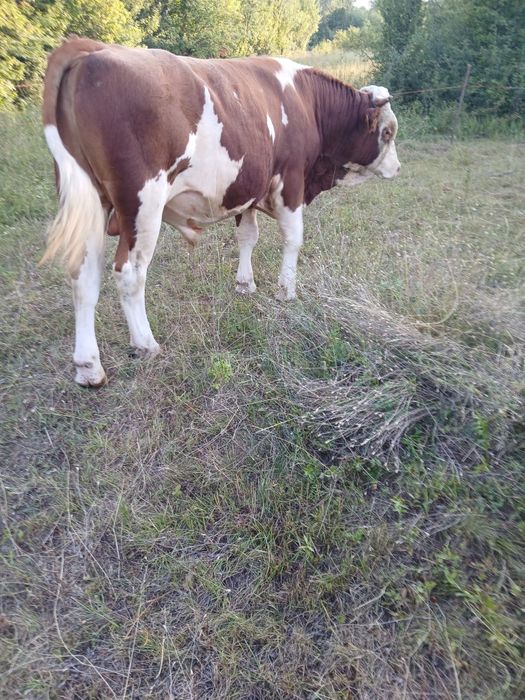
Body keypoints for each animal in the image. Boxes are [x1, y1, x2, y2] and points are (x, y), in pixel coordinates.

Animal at [41, 37, 400, 387]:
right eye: (387, 132)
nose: (397, 168)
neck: (307, 103)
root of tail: (91, 47)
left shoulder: (248, 187)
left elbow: (248, 236)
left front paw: (245, 284)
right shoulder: (292, 180)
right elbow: (293, 238)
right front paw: (286, 291)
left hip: (90, 202)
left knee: (83, 276)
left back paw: (89, 368)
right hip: (142, 203)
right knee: (130, 272)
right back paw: (145, 344)